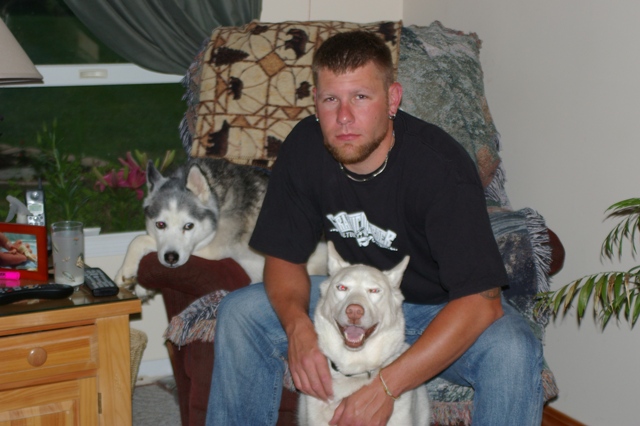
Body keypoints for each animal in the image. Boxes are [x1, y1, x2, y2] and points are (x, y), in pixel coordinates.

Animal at [115, 158, 327, 286]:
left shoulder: (211, 248)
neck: (219, 198)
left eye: (189, 226)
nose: (171, 258)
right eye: (160, 225)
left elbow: (139, 239)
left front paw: (124, 270)